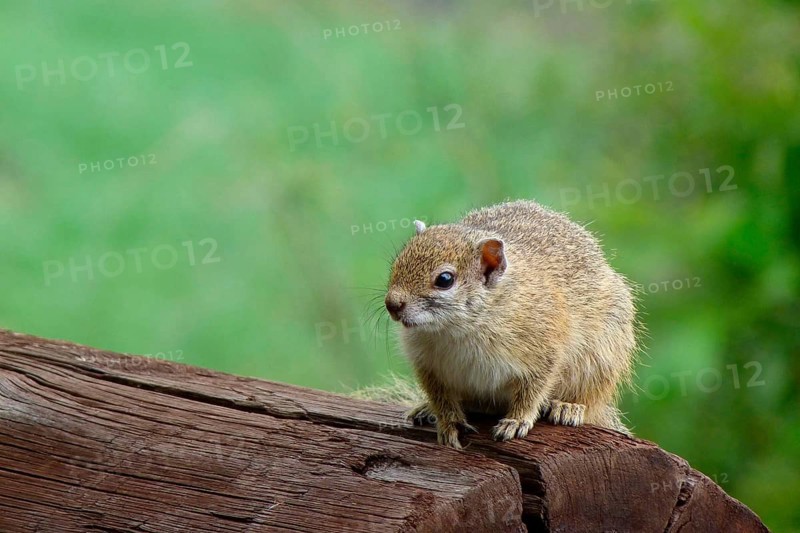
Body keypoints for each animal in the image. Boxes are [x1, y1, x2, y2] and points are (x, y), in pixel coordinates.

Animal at [384, 200, 637, 449]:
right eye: (397, 263)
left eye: (445, 280)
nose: (391, 304)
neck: (459, 329)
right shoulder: (429, 367)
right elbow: (441, 397)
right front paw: (449, 423)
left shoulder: (544, 351)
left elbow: (531, 391)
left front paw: (517, 421)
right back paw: (426, 409)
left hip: (599, 361)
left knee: (590, 399)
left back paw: (567, 406)